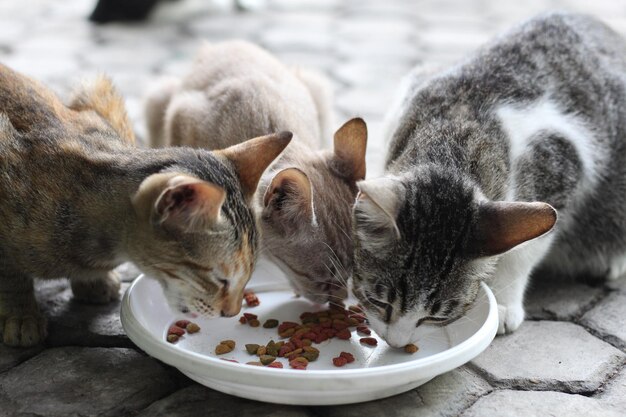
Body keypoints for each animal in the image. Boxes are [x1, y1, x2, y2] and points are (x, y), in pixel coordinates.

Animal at [144, 40, 366, 304]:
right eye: (324, 280)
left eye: (351, 273)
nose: (341, 298)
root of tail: (222, 44)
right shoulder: (180, 117)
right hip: (157, 100)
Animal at [352, 12, 624, 344]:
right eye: (379, 301)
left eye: (435, 317)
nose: (397, 342)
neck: (457, 130)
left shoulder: (563, 164)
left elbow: (523, 252)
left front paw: (504, 302)